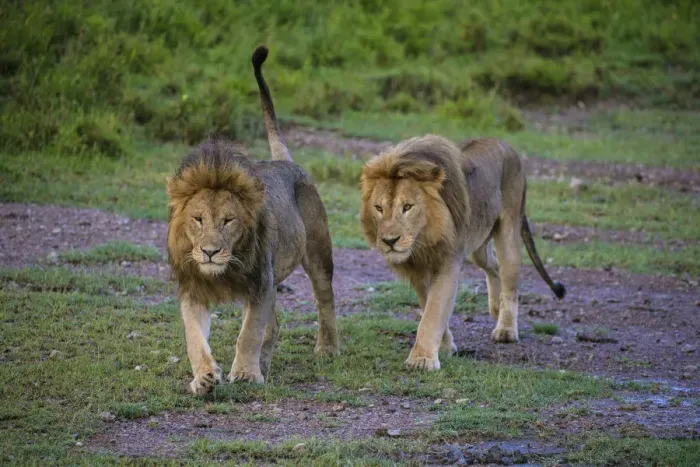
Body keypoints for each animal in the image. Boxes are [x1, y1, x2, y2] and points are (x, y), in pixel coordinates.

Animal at [166, 46, 339, 394]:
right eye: (198, 219)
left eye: (229, 220)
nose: (209, 252)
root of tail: (285, 161)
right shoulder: (194, 289)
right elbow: (195, 338)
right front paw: (204, 378)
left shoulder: (260, 283)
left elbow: (249, 333)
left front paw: (245, 374)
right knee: (274, 325)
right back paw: (266, 363)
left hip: (317, 254)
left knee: (324, 299)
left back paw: (327, 349)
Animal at [360, 135, 565, 371]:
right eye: (378, 208)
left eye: (408, 207)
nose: (389, 241)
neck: (423, 242)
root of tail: (504, 143)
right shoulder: (419, 271)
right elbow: (429, 307)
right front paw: (445, 347)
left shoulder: (448, 262)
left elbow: (433, 312)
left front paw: (422, 359)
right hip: (479, 246)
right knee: (493, 265)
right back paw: (496, 307)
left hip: (510, 229)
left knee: (509, 279)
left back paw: (505, 330)